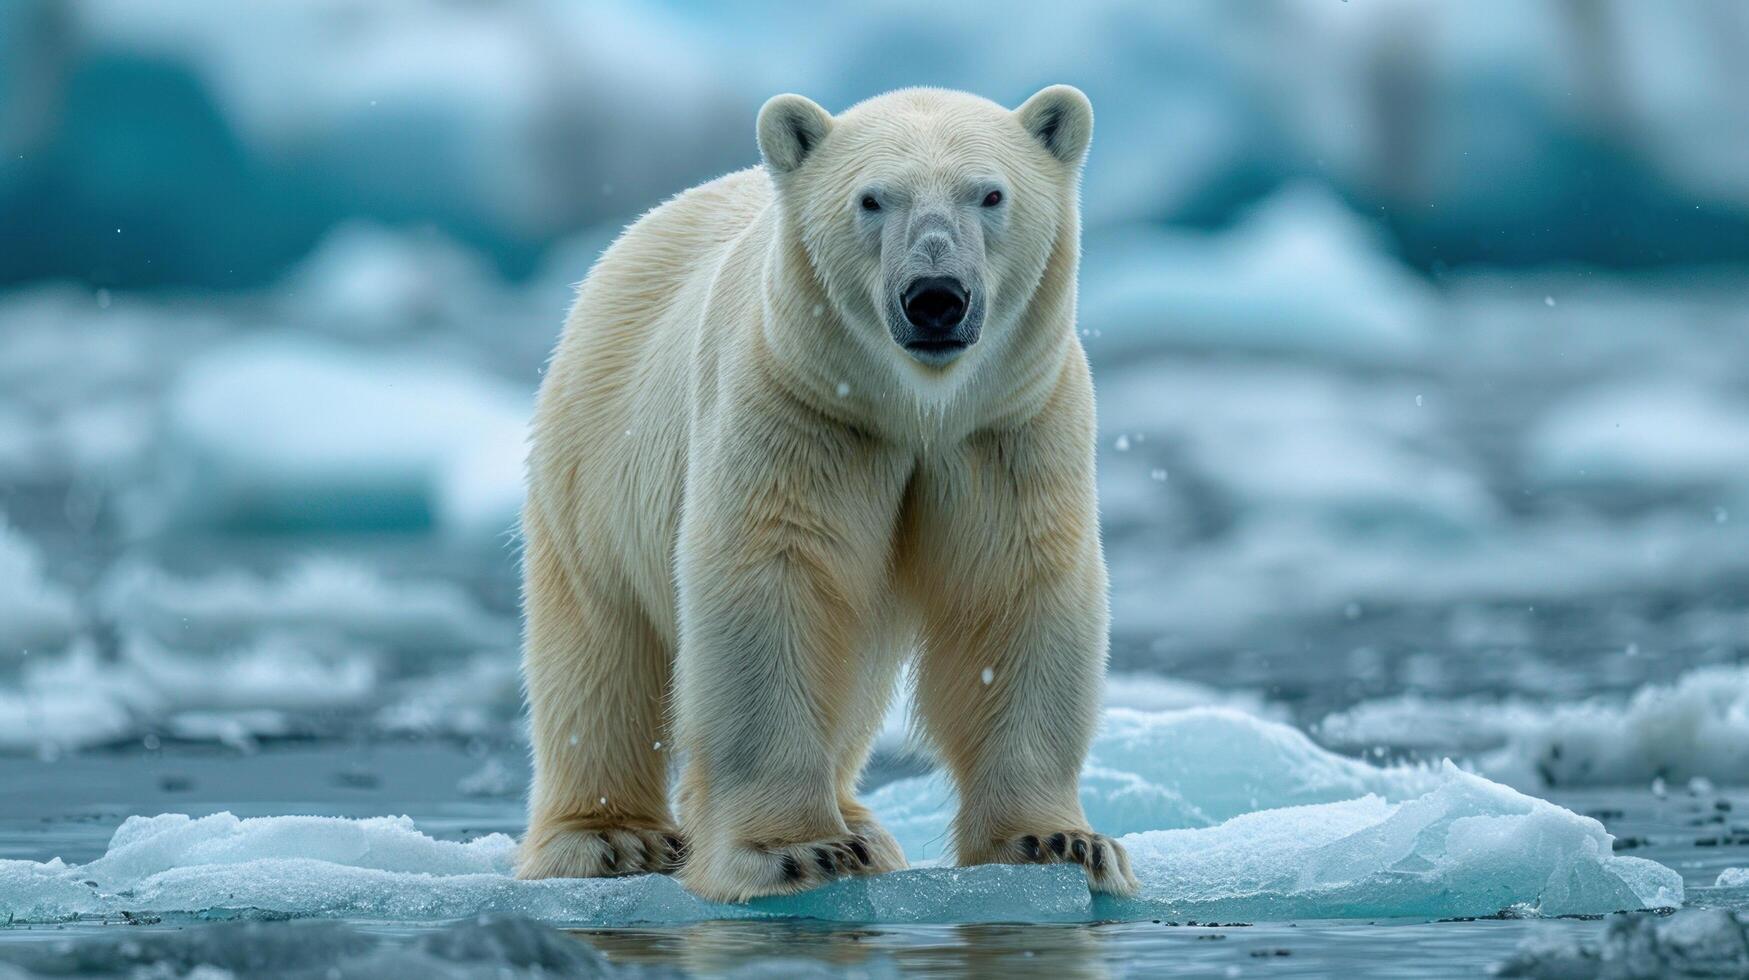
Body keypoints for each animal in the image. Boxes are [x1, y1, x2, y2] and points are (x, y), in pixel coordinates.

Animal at [510, 87, 1133, 903]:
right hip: (592, 460)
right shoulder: (801, 411)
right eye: (871, 199)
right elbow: (775, 587)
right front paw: (794, 852)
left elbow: (1016, 589)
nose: (935, 297)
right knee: (599, 648)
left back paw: (864, 826)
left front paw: (1058, 843)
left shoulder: (1006, 426)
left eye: (990, 194)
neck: (914, 409)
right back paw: (612, 838)